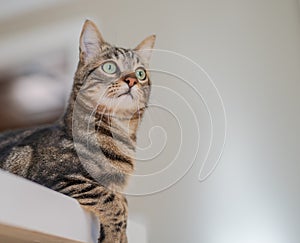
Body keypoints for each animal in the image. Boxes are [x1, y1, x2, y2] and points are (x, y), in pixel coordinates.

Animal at [0, 19, 156, 243]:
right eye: (110, 67)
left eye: (141, 73)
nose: (132, 80)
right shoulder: (59, 178)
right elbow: (111, 199)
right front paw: (115, 235)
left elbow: (122, 200)